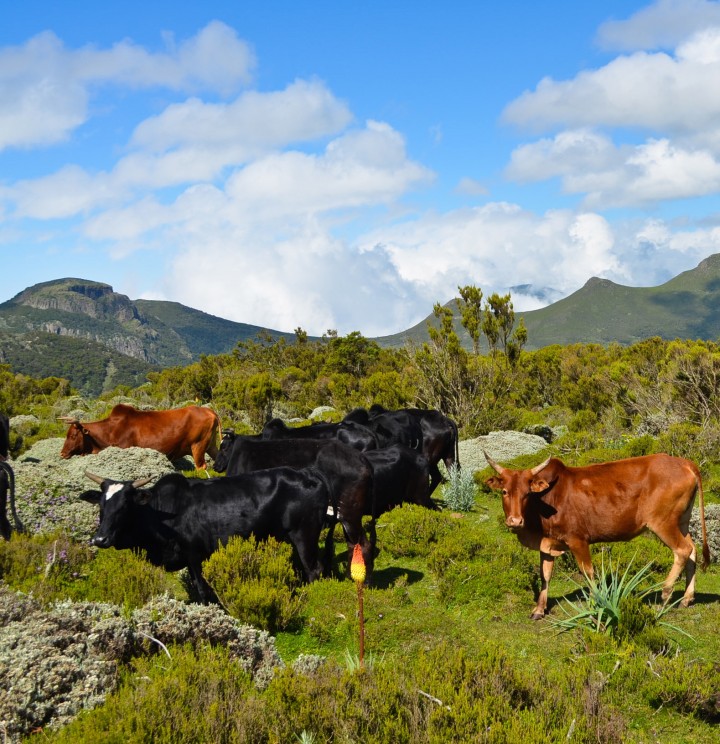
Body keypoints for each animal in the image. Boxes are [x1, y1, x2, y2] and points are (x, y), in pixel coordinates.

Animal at [59, 404, 219, 468]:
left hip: (198, 446)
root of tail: (210, 411)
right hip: (211, 446)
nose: (62, 453)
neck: (110, 430)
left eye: (73, 435)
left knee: (201, 467)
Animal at [80, 470, 334, 604]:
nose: (100, 539)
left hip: (304, 535)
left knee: (314, 569)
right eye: (101, 505)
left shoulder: (195, 556)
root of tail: (311, 476)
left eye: (125, 505)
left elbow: (202, 590)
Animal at [211, 436, 374, 580]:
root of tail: (362, 459)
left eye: (223, 448)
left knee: (363, 545)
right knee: (353, 545)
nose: (215, 466)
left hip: (349, 514)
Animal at [480, 450, 712, 620]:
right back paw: (687, 598)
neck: (548, 499)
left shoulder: (578, 540)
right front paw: (539, 610)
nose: (515, 521)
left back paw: (665, 594)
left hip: (663, 523)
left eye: (527, 494)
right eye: (504, 492)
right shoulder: (547, 542)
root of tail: (684, 463)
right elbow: (545, 574)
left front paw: (594, 605)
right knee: (692, 551)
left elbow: (588, 573)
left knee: (682, 550)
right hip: (682, 521)